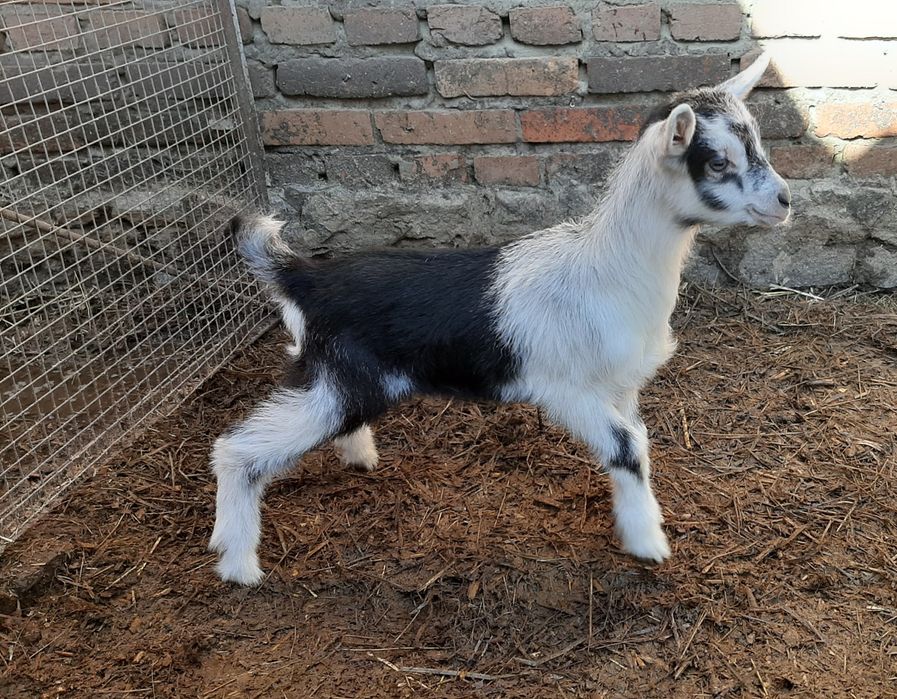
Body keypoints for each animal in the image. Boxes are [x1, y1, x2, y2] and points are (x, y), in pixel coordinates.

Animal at [209, 55, 790, 585]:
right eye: (717, 162)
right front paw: (649, 543)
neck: (607, 267)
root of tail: (305, 275)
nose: (784, 200)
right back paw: (237, 564)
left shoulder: (620, 388)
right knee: (235, 450)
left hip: (339, 379)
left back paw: (358, 458)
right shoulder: (567, 390)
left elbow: (636, 444)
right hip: (339, 380)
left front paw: (637, 526)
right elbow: (628, 448)